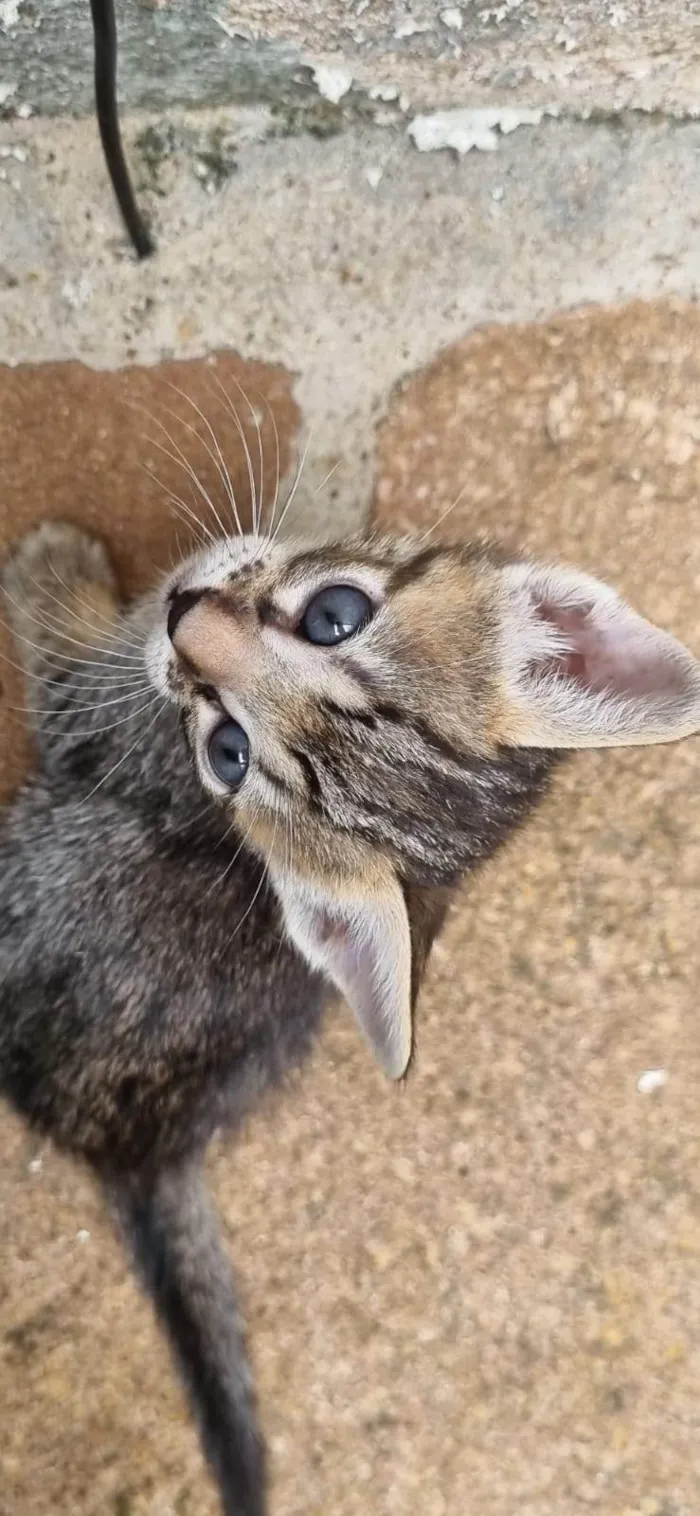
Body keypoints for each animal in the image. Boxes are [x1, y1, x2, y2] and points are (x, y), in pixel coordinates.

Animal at [4, 521, 700, 1516]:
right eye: (338, 614)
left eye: (227, 755)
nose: (183, 616)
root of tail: (136, 1148)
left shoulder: (98, 732)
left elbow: (72, 668)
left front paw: (54, 566)